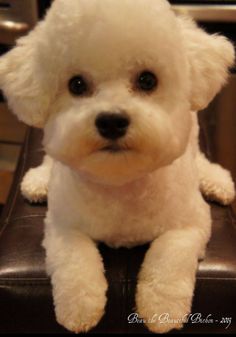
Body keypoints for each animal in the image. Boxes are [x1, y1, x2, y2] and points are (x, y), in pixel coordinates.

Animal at [0, 0, 235, 330]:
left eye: (147, 80)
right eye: (76, 85)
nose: (111, 121)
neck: (121, 183)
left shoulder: (192, 222)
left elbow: (169, 257)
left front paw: (162, 308)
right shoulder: (61, 225)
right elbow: (74, 261)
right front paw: (80, 308)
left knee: (199, 159)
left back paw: (217, 180)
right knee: (49, 159)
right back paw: (39, 180)